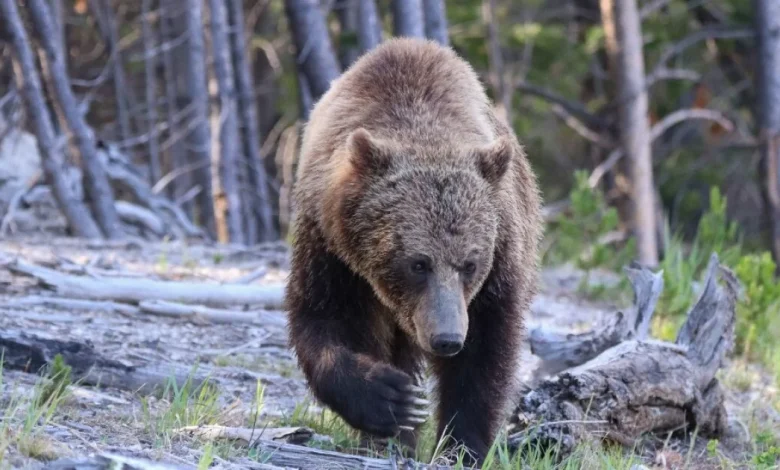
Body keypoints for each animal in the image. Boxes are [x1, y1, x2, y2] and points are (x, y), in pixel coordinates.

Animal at [285, 37, 543, 464]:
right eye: (418, 263)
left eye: (470, 264)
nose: (447, 338)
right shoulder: (331, 248)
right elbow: (324, 319)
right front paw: (392, 400)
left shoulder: (501, 256)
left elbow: (485, 353)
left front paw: (462, 445)